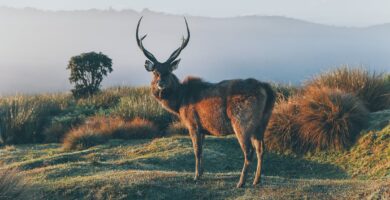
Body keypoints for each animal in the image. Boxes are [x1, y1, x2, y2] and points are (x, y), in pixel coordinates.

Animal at [136, 16, 276, 188]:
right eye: (155, 72)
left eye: (169, 71)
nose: (160, 83)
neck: (179, 102)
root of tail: (267, 89)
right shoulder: (203, 128)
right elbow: (202, 150)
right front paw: (201, 173)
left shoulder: (193, 123)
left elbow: (197, 150)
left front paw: (196, 176)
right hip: (263, 122)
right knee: (261, 149)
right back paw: (257, 180)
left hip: (242, 121)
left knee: (248, 151)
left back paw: (241, 182)